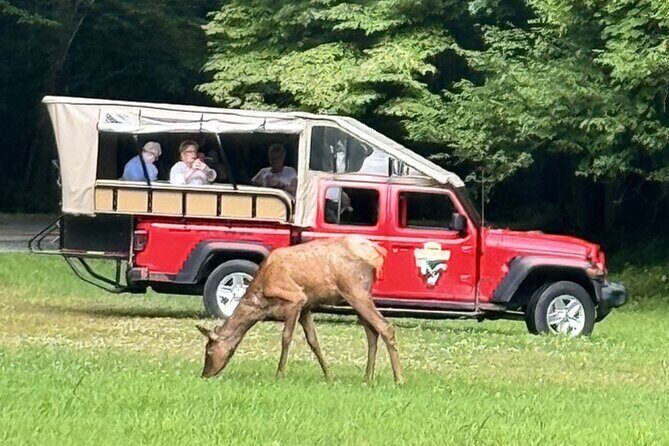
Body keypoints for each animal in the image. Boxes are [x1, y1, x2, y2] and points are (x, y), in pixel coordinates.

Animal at [196, 235, 404, 384]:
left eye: (209, 351)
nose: (204, 374)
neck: (261, 303)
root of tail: (376, 250)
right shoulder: (306, 308)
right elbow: (313, 341)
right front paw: (329, 376)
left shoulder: (296, 299)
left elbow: (286, 337)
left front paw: (280, 374)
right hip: (360, 293)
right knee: (372, 332)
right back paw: (367, 378)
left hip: (354, 289)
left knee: (385, 327)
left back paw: (399, 379)